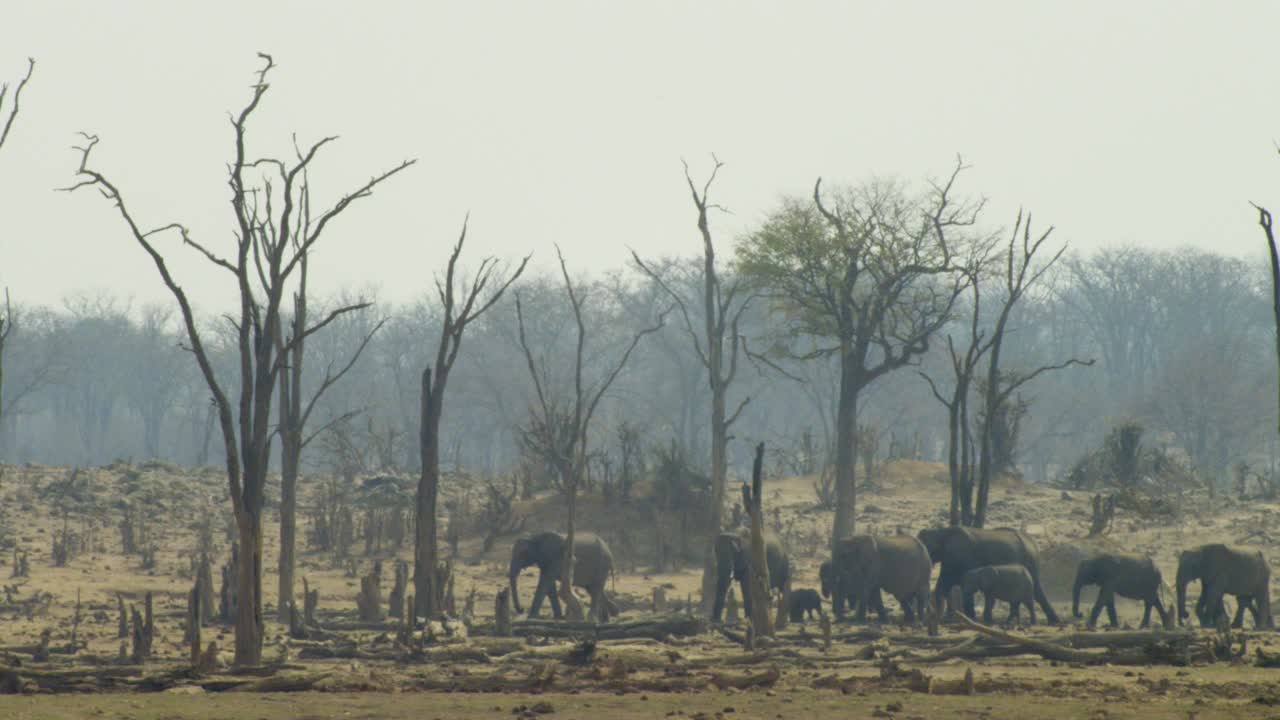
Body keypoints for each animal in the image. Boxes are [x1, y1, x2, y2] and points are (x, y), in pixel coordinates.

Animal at [921, 520, 1059, 622]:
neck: (941, 533)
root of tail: (1032, 542)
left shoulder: (960, 557)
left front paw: (969, 618)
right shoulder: (950, 560)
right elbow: (943, 585)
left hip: (1030, 560)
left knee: (1036, 589)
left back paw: (1054, 620)